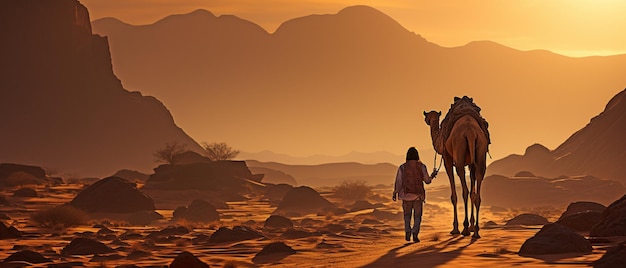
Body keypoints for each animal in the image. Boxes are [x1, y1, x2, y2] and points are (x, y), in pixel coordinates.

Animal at [424, 99, 488, 238]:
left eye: (428, 116)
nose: (426, 119)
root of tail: (470, 133)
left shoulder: (447, 158)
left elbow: (454, 195)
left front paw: (455, 228)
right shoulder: (470, 163)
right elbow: (473, 192)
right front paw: (471, 226)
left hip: (459, 152)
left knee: (464, 190)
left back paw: (464, 229)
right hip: (481, 152)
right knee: (477, 191)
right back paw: (476, 230)